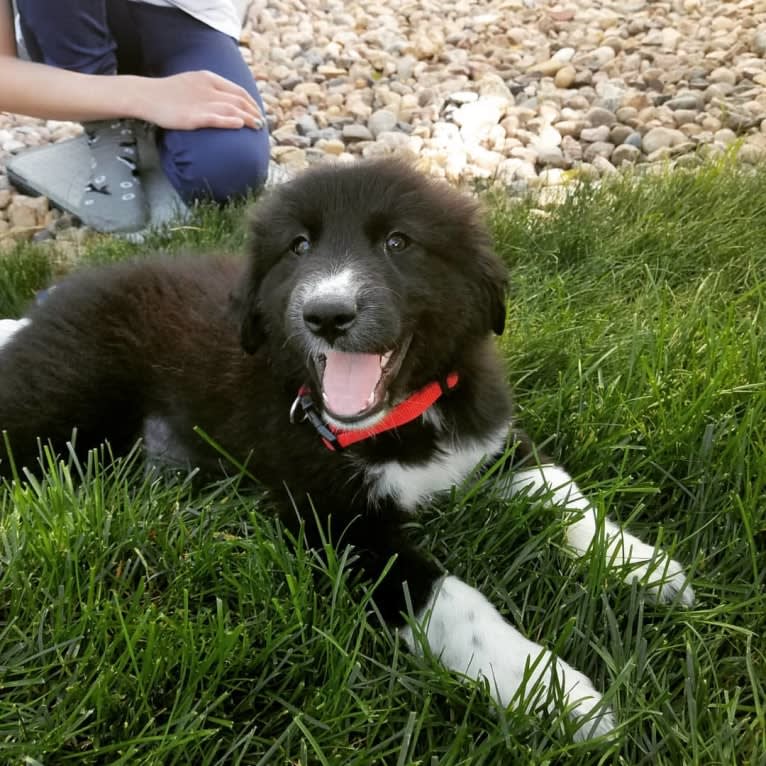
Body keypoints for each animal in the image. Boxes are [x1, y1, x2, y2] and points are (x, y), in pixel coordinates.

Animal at [0, 160, 696, 744]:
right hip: (59, 410)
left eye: (399, 243)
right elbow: (453, 603)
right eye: (298, 247)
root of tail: (39, 311)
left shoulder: (490, 441)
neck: (396, 419)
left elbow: (562, 490)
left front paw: (643, 564)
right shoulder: (338, 525)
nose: (327, 315)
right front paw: (555, 693)